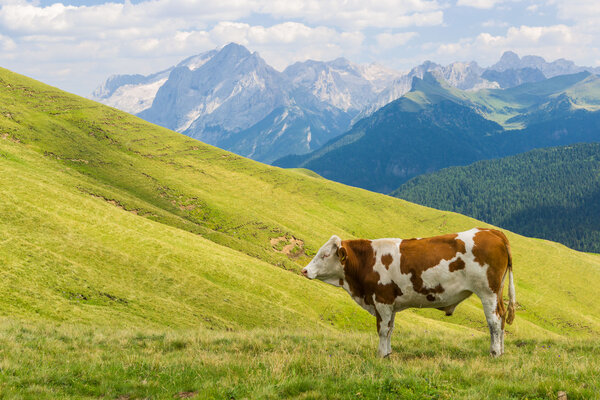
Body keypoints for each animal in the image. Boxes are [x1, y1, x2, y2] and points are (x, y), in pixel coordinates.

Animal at [300, 230, 516, 358]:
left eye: (325, 255)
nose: (304, 270)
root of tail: (490, 231)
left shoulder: (382, 300)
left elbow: (382, 329)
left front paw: (381, 355)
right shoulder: (391, 304)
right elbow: (390, 329)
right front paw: (388, 353)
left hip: (487, 291)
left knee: (494, 321)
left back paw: (494, 352)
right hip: (497, 292)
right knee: (502, 317)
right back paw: (502, 351)